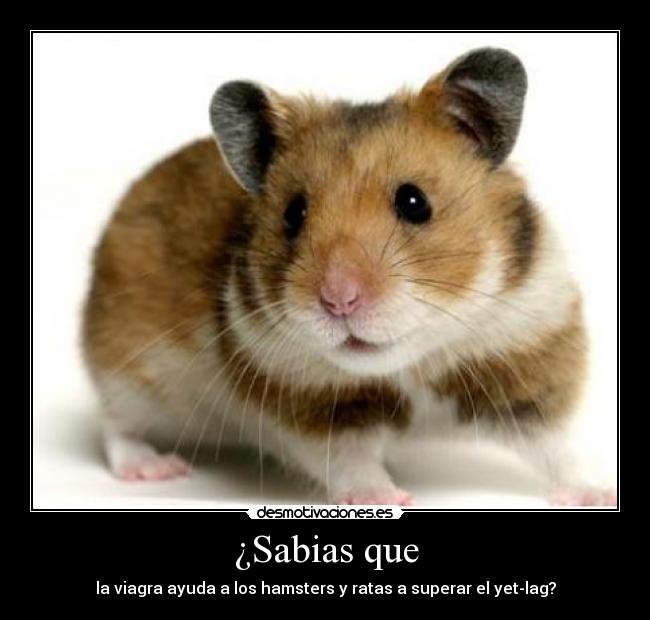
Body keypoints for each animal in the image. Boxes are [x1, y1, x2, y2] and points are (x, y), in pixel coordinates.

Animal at [82, 48, 615, 506]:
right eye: (293, 214)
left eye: (415, 202)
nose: (338, 301)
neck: (411, 364)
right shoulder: (313, 407)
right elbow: (349, 459)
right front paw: (390, 498)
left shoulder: (524, 361)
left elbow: (558, 446)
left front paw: (599, 493)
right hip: (126, 367)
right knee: (116, 427)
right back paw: (155, 468)